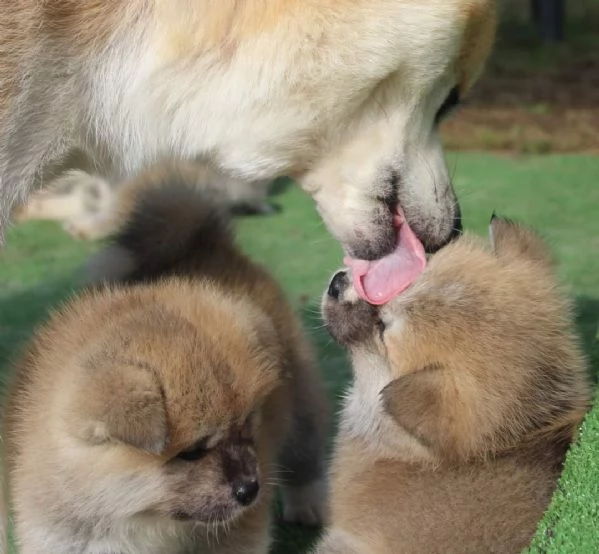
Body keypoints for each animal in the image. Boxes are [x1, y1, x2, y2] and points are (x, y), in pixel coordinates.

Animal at [1, 164, 328, 552]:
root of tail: (207, 245)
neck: (142, 525)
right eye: (192, 451)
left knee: (305, 457)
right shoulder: (59, 536)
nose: (251, 489)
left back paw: (308, 504)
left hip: (301, 404)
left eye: (249, 427)